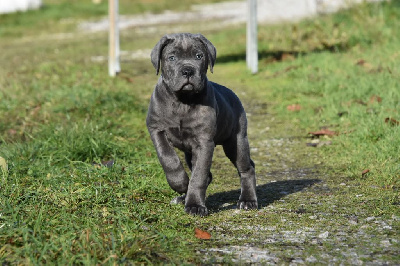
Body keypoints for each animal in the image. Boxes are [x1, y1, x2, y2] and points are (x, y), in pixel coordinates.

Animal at [146, 33, 256, 216]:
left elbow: (198, 175)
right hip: (190, 152)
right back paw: (183, 195)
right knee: (207, 174)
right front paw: (180, 183)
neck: (182, 101)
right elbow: (167, 158)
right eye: (172, 57)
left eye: (199, 56)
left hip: (236, 142)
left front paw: (195, 205)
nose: (188, 71)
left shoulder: (204, 142)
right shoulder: (156, 129)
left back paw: (248, 200)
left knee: (247, 168)